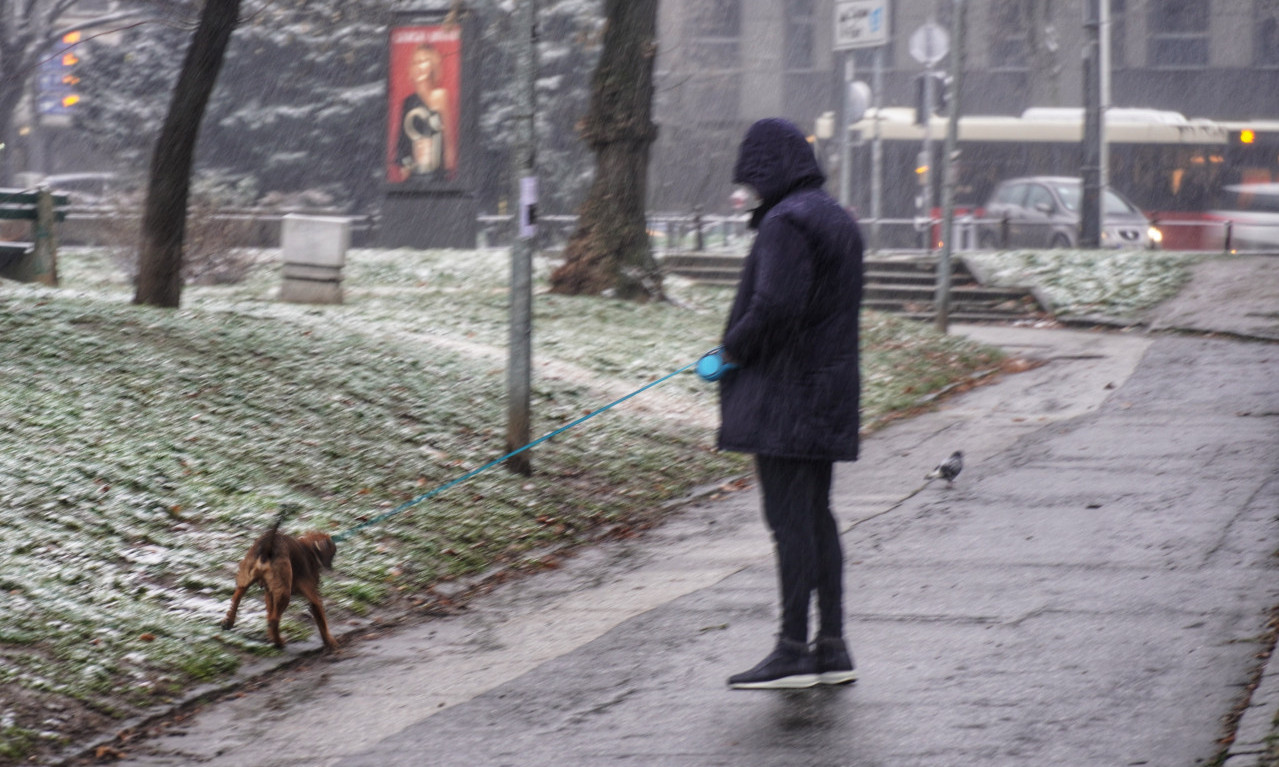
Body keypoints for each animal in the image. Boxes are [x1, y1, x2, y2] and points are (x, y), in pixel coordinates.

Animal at [221, 516, 337, 646]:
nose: (331, 567)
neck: (309, 550)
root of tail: (268, 547)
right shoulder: (314, 598)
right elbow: (322, 621)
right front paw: (330, 642)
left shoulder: (269, 593)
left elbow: (269, 612)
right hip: (284, 594)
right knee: (274, 619)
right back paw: (279, 642)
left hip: (246, 580)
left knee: (236, 599)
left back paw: (228, 622)